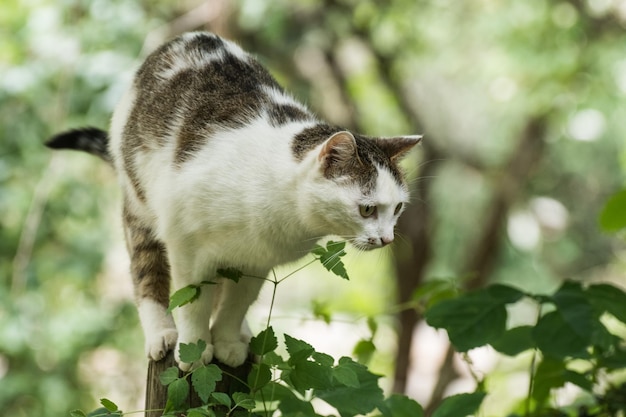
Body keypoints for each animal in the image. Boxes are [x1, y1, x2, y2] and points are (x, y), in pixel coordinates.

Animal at [46, 33, 422, 370]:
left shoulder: (257, 261)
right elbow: (193, 301)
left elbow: (235, 304)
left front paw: (226, 342)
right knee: (147, 273)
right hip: (140, 205)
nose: (387, 238)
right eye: (367, 208)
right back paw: (162, 334)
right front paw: (195, 347)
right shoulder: (187, 247)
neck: (288, 213)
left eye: (397, 208)